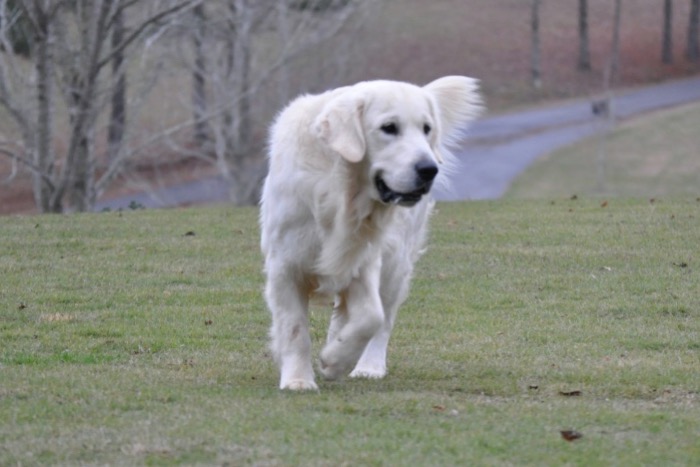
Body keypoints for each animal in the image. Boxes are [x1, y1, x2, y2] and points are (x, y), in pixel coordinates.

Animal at [258, 77, 482, 392]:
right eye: (389, 127)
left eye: (426, 128)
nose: (429, 169)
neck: (339, 191)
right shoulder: (285, 265)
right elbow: (294, 328)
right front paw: (298, 379)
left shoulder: (364, 260)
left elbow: (371, 317)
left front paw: (334, 359)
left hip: (396, 264)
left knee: (383, 317)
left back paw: (366, 365)